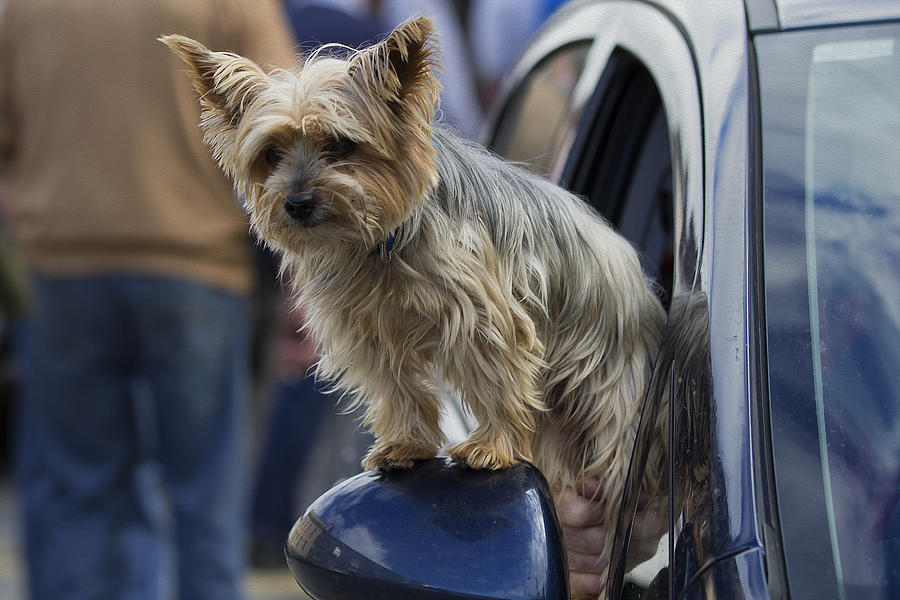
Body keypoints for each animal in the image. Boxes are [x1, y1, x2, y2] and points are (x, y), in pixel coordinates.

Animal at [162, 14, 664, 552]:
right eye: (271, 154)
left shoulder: (481, 315)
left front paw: (491, 445)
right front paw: (405, 443)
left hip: (609, 386)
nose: (296, 203)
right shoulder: (366, 328)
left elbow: (496, 375)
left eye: (340, 145)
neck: (378, 243)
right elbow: (396, 385)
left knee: (615, 455)